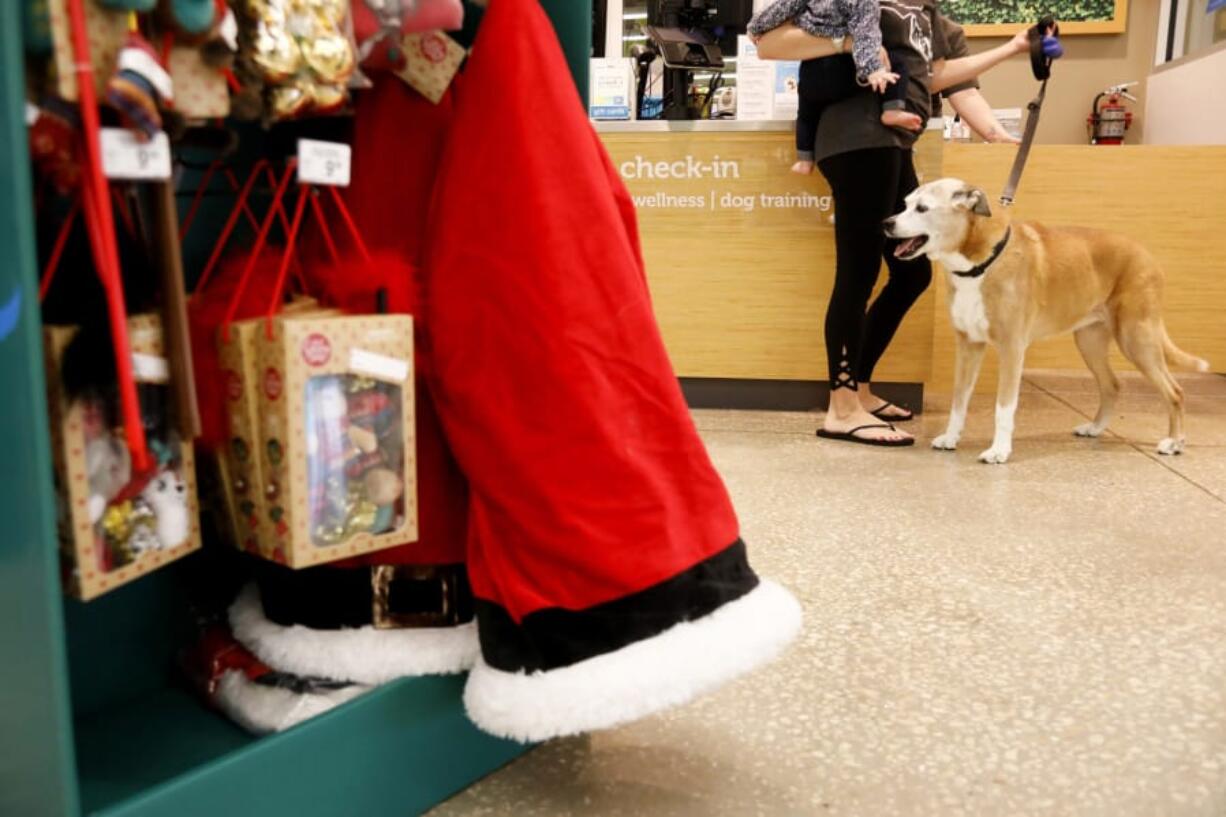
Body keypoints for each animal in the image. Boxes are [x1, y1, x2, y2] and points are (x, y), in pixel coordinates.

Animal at [882, 176, 1206, 463]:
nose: (887, 223)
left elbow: (1004, 407)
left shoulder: (1012, 349)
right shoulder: (968, 345)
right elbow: (959, 401)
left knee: (1174, 391)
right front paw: (951, 437)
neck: (980, 263)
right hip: (1090, 340)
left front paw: (999, 451)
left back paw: (1174, 442)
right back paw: (1095, 427)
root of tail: (1147, 255)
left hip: (1137, 338)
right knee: (1112, 385)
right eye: (905, 204)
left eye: (922, 208)